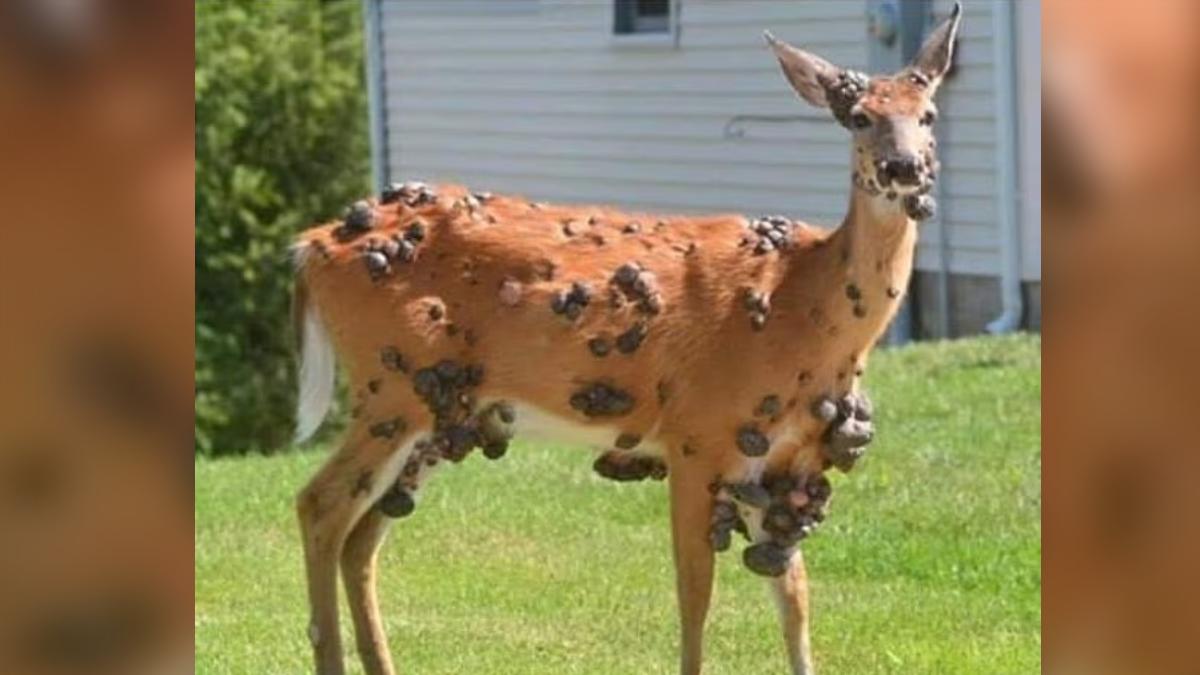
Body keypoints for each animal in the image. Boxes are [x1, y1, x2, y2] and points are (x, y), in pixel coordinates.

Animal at [289, 5, 960, 674]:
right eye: (860, 116)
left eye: (927, 114)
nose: (904, 168)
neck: (806, 307)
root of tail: (311, 246)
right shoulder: (698, 437)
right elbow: (696, 595)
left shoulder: (783, 460)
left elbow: (793, 597)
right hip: (390, 386)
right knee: (320, 505)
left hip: (441, 413)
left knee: (362, 538)